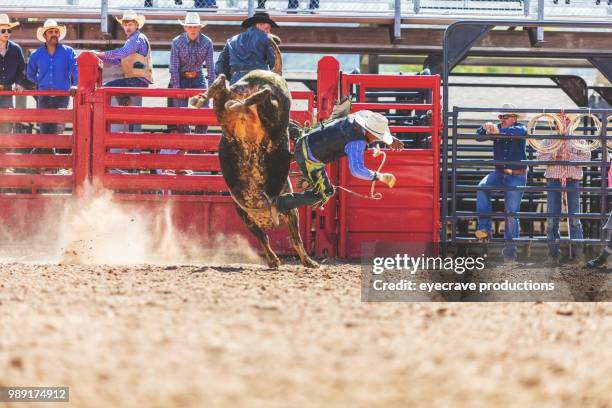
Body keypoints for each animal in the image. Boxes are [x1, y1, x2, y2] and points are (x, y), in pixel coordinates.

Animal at [191, 37, 318, 268]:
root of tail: (267, 74)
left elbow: (269, 237)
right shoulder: (286, 210)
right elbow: (289, 237)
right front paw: (296, 261)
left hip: (227, 117)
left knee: (223, 86)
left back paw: (211, 100)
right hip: (275, 114)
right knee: (264, 96)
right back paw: (242, 102)